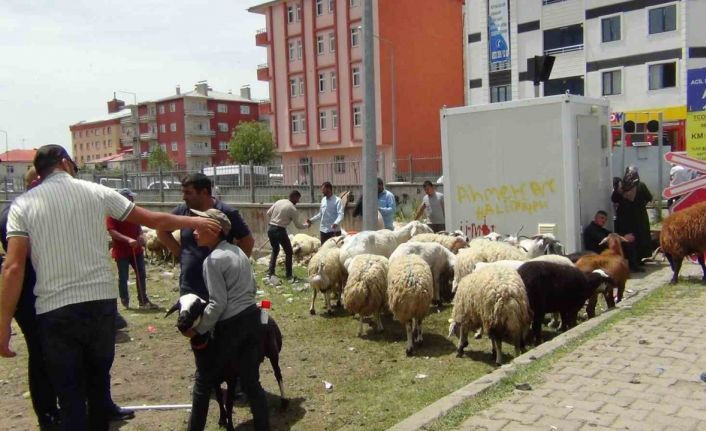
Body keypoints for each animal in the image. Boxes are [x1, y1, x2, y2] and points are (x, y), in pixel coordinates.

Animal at [166, 294, 286, 431]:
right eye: (178, 307)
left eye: (198, 306)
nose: (182, 322)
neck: (213, 345)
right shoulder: (214, 378)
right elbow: (219, 399)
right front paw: (222, 420)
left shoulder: (231, 377)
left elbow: (228, 403)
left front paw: (230, 426)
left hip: (273, 352)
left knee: (278, 375)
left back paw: (284, 402)